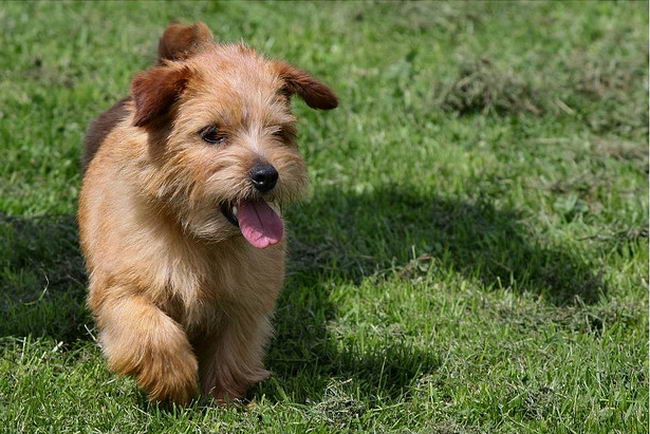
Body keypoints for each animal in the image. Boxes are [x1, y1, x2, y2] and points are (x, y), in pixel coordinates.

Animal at [78, 22, 336, 406]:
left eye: (280, 132)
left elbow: (234, 348)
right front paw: (172, 380)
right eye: (212, 134)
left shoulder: (245, 301)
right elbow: (152, 331)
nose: (267, 175)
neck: (200, 238)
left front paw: (224, 398)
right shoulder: (121, 289)